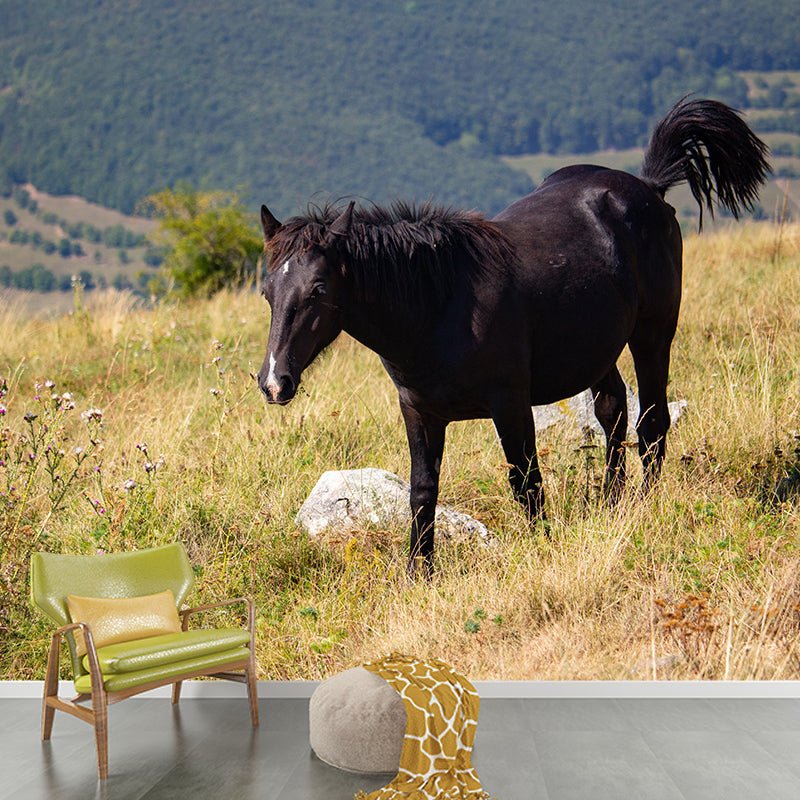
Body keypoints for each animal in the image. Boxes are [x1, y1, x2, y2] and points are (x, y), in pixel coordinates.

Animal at [256, 98, 769, 576]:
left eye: (318, 290)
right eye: (267, 289)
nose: (275, 382)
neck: (440, 305)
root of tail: (648, 188)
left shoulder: (511, 403)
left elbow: (526, 481)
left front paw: (542, 548)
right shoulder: (419, 411)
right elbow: (422, 491)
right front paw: (419, 573)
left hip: (653, 334)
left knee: (652, 423)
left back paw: (642, 506)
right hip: (597, 348)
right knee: (613, 411)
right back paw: (611, 507)